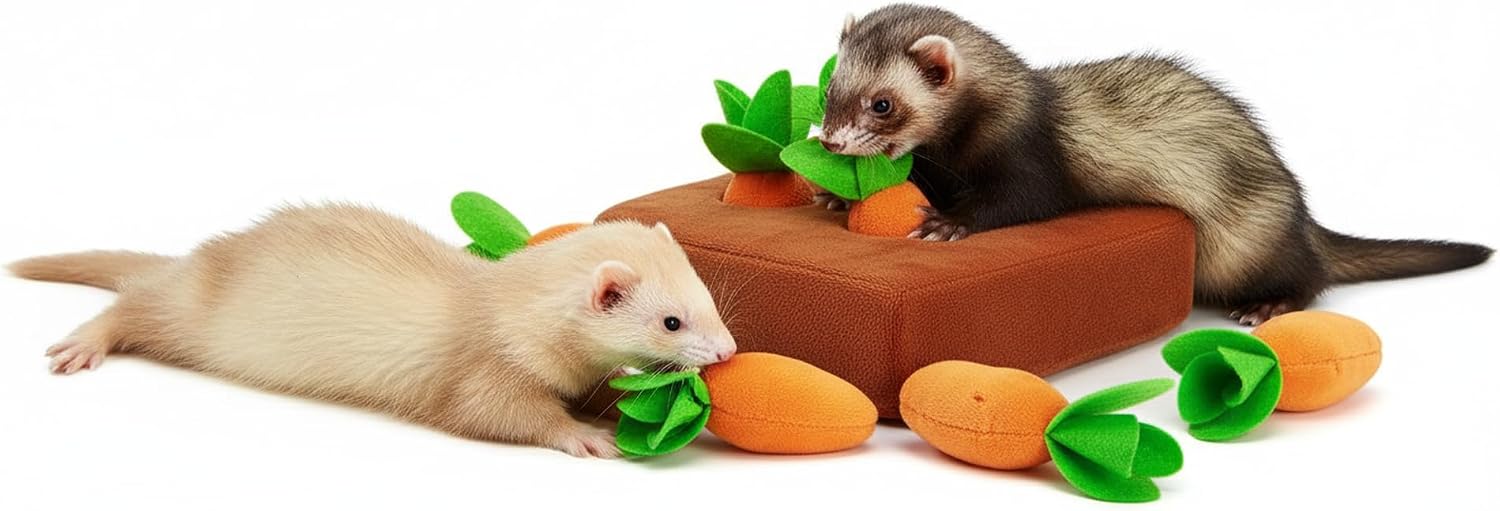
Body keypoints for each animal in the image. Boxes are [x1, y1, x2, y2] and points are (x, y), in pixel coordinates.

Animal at [9, 203, 737, 458]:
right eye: (671, 319)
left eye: (708, 296)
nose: (727, 349)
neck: (504, 306)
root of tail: (197, 258)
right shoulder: (485, 371)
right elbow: (500, 414)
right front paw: (583, 435)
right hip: (182, 312)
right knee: (132, 305)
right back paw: (83, 343)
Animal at [818, 4, 1491, 325]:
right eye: (830, 86)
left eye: (882, 103)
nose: (831, 143)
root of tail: (1302, 218)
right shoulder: (939, 164)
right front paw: (834, 196)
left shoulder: (1031, 157)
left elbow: (1020, 201)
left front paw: (949, 222)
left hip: (1247, 247)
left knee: (1311, 279)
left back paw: (1269, 306)